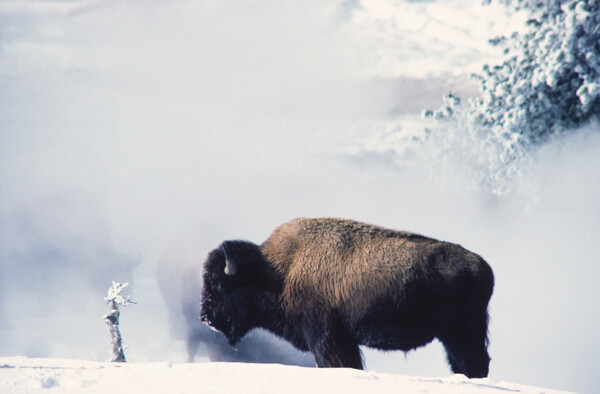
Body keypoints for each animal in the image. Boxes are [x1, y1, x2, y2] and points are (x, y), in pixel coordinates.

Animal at [200, 217, 492, 378]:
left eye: (219, 284)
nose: (206, 318)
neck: (276, 271)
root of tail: (482, 266)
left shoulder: (326, 337)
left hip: (461, 334)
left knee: (474, 364)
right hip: (454, 338)